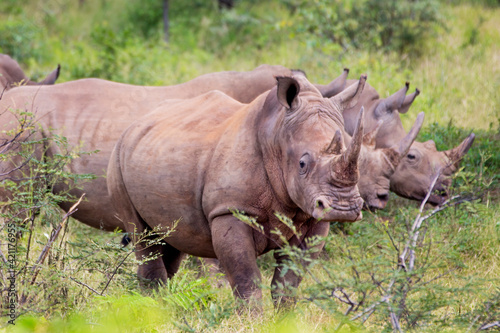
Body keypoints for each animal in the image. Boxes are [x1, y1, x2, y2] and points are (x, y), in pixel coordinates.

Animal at [106, 75, 364, 300]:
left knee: (171, 241)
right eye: (302, 164)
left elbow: (288, 282)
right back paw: (152, 308)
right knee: (142, 236)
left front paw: (285, 319)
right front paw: (253, 321)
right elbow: (246, 279)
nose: (344, 208)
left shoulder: (313, 215)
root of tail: (134, 125)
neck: (276, 135)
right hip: (117, 158)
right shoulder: (229, 210)